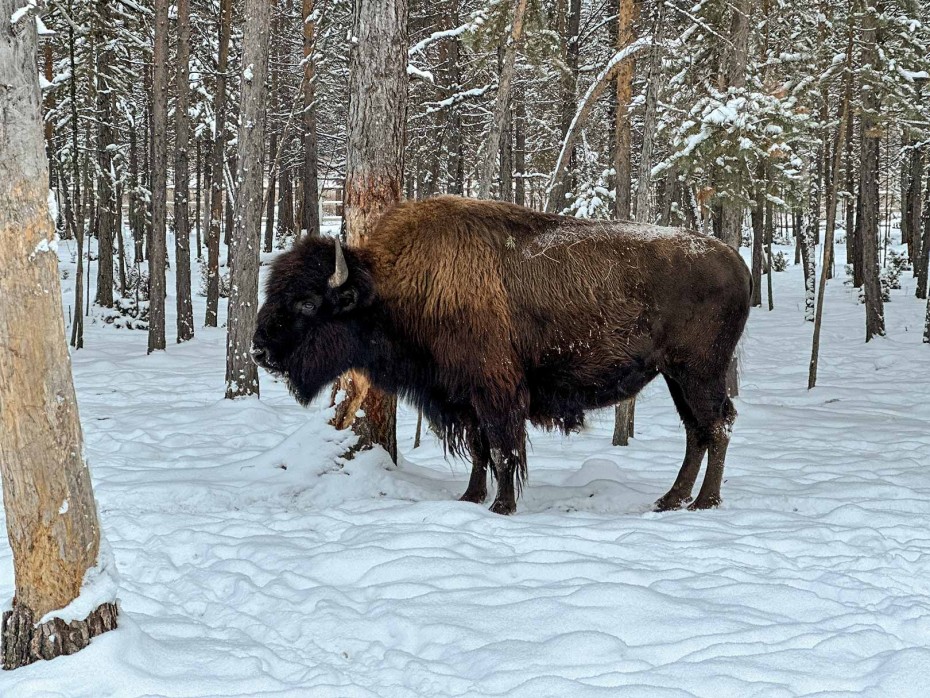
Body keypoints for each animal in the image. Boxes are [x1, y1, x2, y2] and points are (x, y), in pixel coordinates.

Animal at [250, 193, 752, 512]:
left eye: (307, 302)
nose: (258, 351)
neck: (390, 287)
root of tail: (736, 259)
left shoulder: (496, 391)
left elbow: (502, 448)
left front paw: (502, 507)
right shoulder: (464, 395)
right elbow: (480, 450)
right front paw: (471, 498)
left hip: (698, 373)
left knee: (718, 425)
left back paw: (704, 503)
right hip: (676, 376)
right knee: (697, 432)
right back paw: (671, 500)